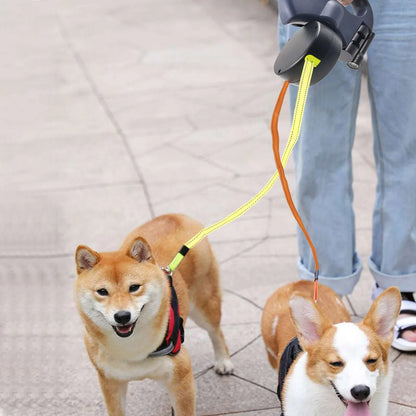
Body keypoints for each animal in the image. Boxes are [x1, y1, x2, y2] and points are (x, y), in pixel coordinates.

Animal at [73, 214, 232, 416]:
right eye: (102, 292)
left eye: (134, 287)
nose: (122, 316)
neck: (132, 349)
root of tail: (176, 216)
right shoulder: (110, 381)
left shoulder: (181, 375)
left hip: (204, 306)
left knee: (215, 331)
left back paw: (223, 361)